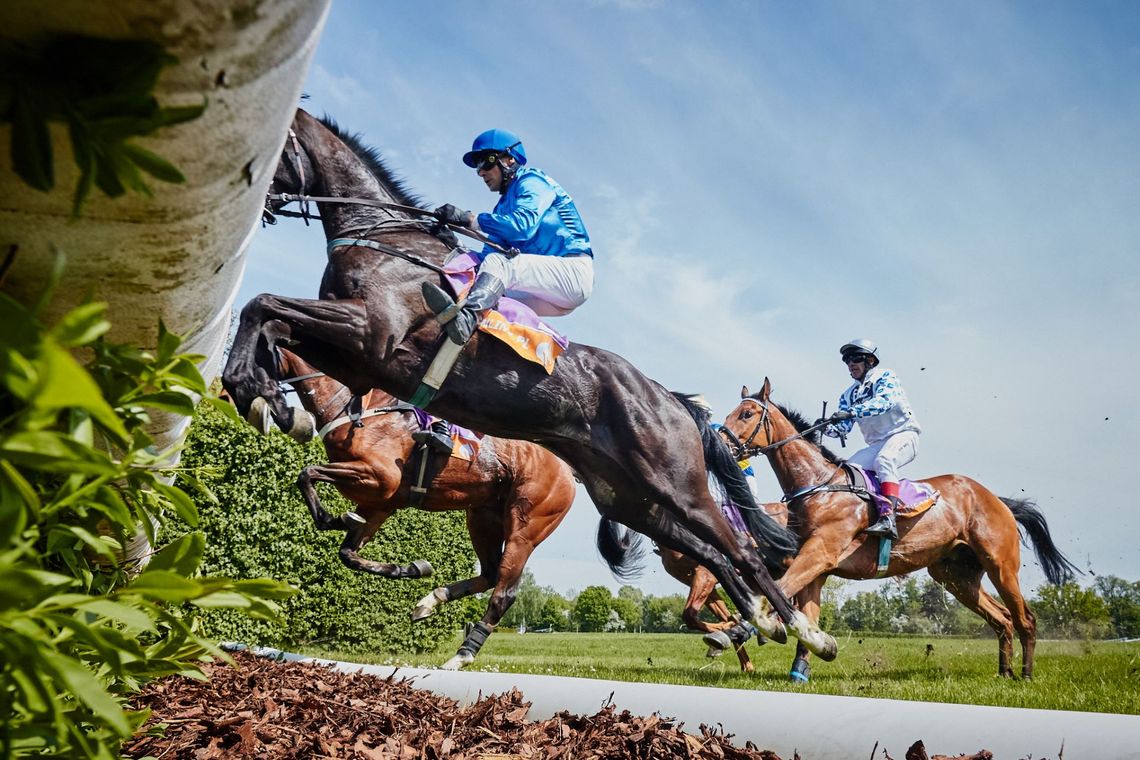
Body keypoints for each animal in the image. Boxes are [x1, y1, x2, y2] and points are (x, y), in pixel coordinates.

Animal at [272, 348, 574, 669]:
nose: (282, 419)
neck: (353, 409)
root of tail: (566, 469)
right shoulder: (380, 501)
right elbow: (348, 553)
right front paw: (412, 568)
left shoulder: (379, 477)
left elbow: (307, 474)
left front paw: (334, 517)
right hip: (482, 517)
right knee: (490, 573)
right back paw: (431, 601)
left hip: (525, 528)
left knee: (504, 592)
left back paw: (462, 655)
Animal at [715, 378, 1071, 679]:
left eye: (746, 413)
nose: (718, 443)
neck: (819, 484)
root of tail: (998, 499)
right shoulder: (815, 566)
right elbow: (802, 610)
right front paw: (803, 664)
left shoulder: (820, 554)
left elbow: (776, 591)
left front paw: (733, 632)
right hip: (956, 575)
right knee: (1002, 619)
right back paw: (1004, 672)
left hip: (1001, 565)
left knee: (1025, 618)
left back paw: (1026, 675)